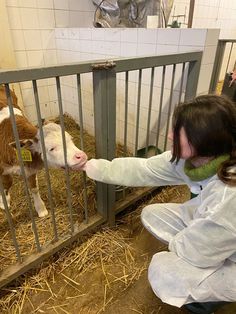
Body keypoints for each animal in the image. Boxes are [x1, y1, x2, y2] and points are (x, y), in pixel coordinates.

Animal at [0, 86, 87, 218]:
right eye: (51, 148)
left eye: (71, 139)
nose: (81, 156)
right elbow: (6, 184)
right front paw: (4, 203)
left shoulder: (30, 169)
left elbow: (34, 188)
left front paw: (41, 209)